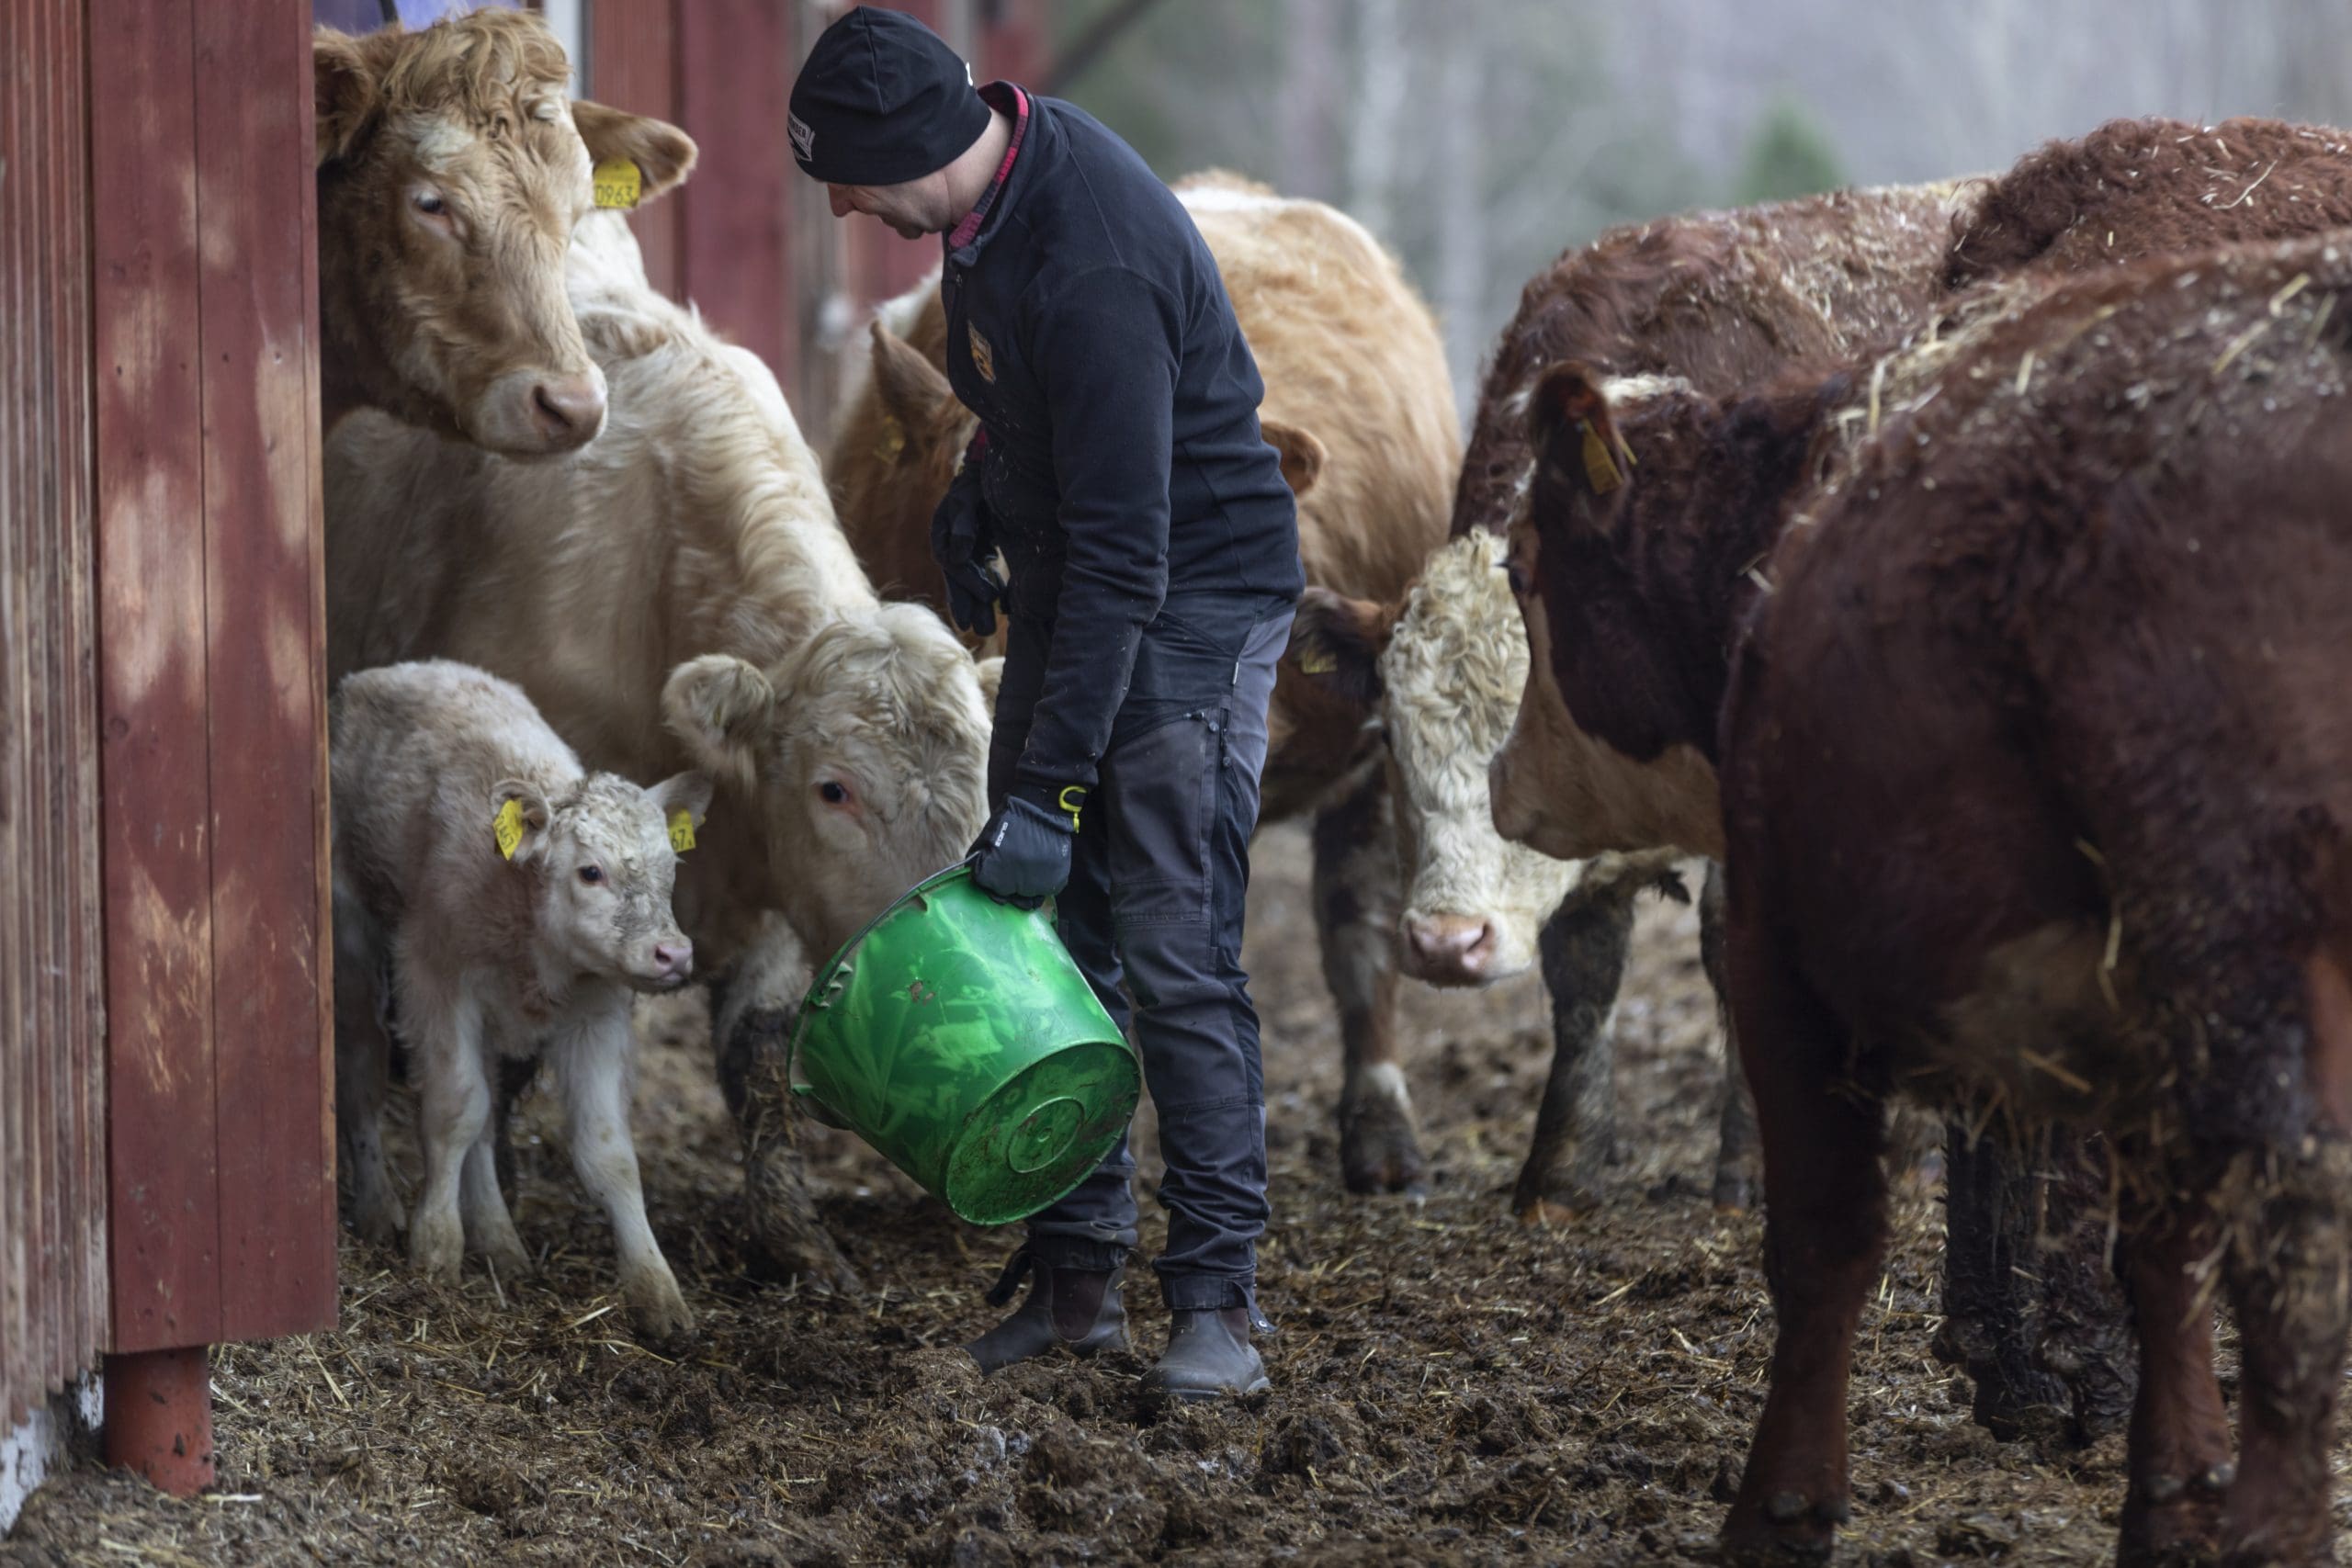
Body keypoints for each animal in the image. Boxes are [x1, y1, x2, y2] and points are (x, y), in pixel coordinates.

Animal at [1674, 232, 2352, 1568]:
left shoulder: (1778, 959)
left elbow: (1821, 1239)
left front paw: (1779, 1506)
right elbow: (2163, 1255)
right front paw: (2170, 1494)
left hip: (2241, 926)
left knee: (2299, 1217)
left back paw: (2275, 1530)